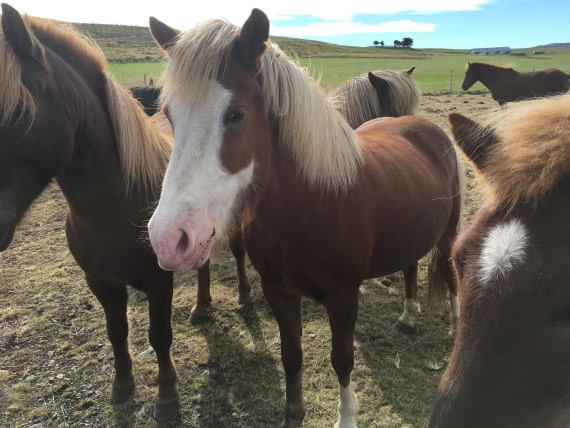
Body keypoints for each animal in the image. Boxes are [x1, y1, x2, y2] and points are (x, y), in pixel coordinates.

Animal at [146, 10, 462, 428]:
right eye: (169, 116)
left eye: (236, 114)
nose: (169, 239)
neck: (310, 205)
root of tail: (424, 127)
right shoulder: (278, 292)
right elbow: (291, 355)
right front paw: (293, 413)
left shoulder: (344, 297)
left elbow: (342, 361)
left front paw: (346, 418)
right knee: (411, 265)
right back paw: (409, 316)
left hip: (448, 234)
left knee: (453, 272)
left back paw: (456, 327)